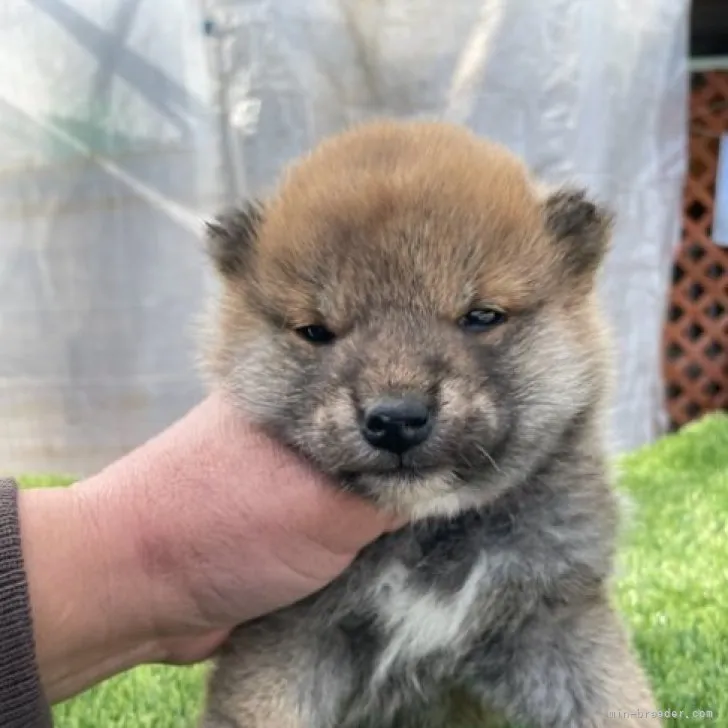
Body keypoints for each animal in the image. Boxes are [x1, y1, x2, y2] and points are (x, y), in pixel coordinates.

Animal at [196, 121, 656, 728]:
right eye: (316, 332)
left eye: (481, 317)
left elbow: (617, 702)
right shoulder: (286, 635)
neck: (427, 532)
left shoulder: (556, 614)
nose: (395, 419)